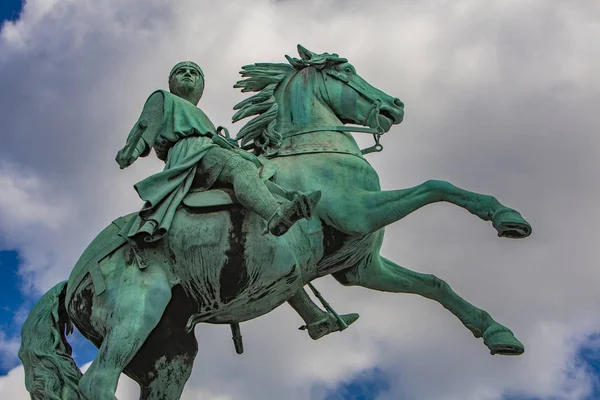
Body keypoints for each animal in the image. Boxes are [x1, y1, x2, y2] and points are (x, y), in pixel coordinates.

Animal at [18, 45, 532, 398]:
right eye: (346, 70)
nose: (395, 106)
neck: (316, 150)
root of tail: (70, 280)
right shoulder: (359, 211)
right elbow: (437, 186)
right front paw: (507, 217)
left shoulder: (359, 267)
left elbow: (433, 283)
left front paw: (497, 333)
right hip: (134, 317)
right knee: (96, 383)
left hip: (168, 351)